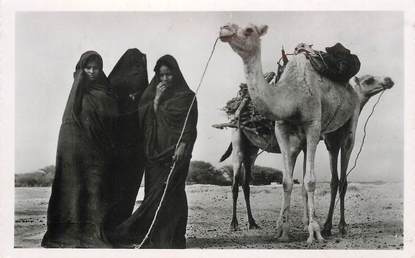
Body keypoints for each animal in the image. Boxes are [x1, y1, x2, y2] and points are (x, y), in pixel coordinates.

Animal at [221, 22, 394, 244]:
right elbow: (289, 181)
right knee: (237, 181)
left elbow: (305, 182)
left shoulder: (312, 129)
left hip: (343, 132)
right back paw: (237, 224)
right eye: (369, 80)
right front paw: (287, 229)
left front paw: (310, 230)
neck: (291, 95)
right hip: (240, 140)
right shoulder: (282, 129)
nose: (389, 80)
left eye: (249, 30)